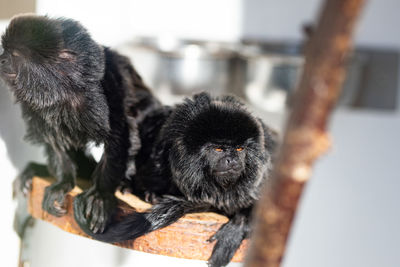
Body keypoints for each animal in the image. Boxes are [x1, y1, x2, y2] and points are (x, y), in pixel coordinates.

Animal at [0, 14, 160, 233]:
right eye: (4, 50)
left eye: (14, 55)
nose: (1, 59)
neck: (64, 91)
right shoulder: (35, 109)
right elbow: (55, 143)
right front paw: (63, 183)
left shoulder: (111, 87)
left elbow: (120, 139)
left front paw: (100, 195)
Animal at [73, 93, 276, 266]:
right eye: (219, 149)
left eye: (240, 149)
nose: (233, 160)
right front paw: (147, 191)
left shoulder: (260, 177)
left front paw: (233, 233)